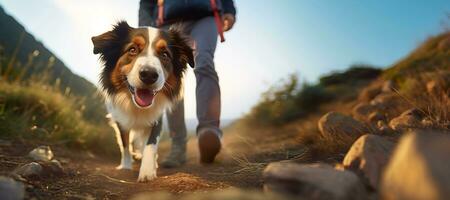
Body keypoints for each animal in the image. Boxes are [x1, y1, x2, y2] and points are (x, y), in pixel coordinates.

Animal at [92, 21, 194, 182]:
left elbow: (150, 144)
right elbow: (125, 144)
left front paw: (147, 171)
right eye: (132, 49)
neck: (137, 106)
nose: (149, 74)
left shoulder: (157, 117)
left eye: (165, 54)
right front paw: (126, 166)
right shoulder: (120, 119)